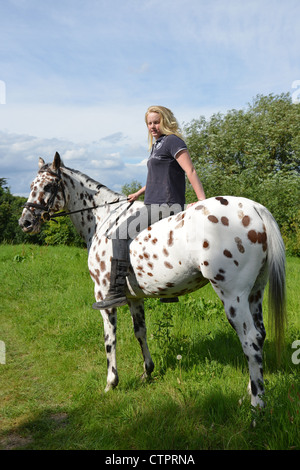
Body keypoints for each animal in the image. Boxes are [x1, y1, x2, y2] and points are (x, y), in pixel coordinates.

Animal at [18, 152, 286, 406]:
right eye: (31, 184)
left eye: (49, 186)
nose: (25, 222)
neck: (103, 218)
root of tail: (255, 208)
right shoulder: (134, 298)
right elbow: (140, 332)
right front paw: (147, 372)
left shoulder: (104, 296)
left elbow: (109, 339)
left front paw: (111, 383)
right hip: (255, 292)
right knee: (259, 335)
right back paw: (250, 391)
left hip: (233, 295)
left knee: (250, 340)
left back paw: (256, 403)